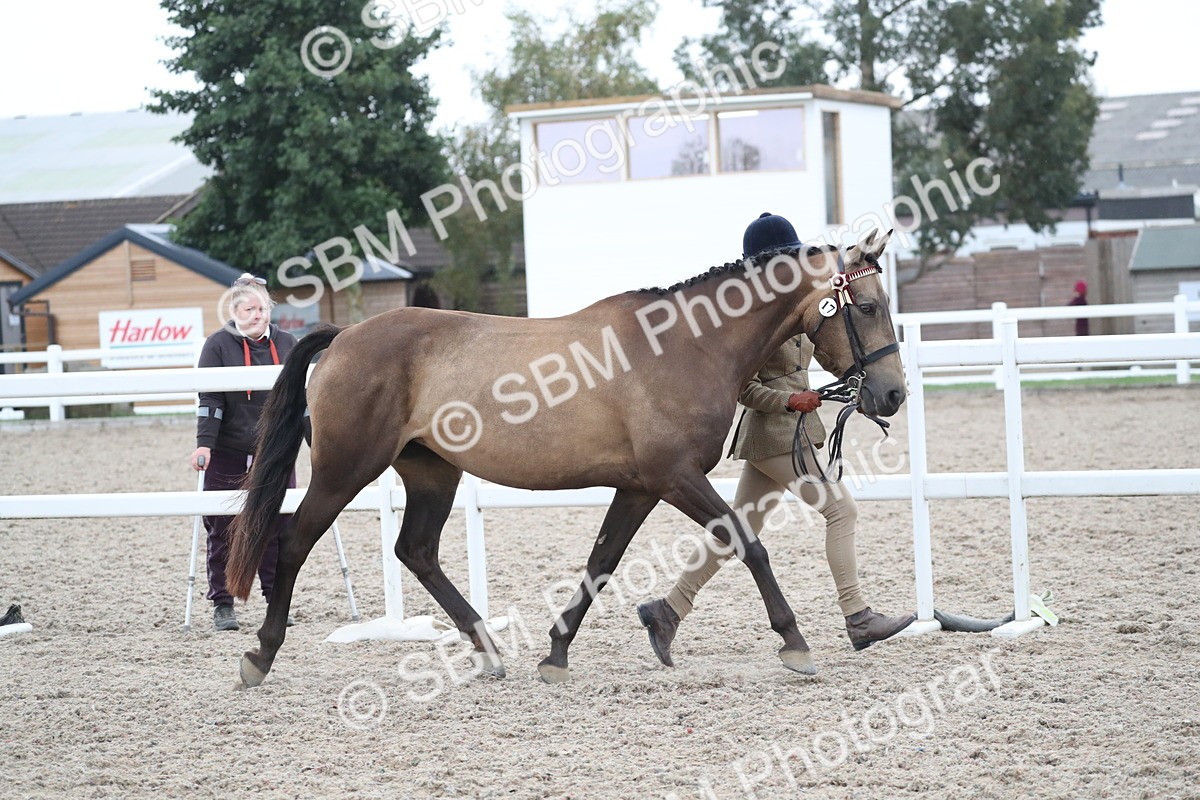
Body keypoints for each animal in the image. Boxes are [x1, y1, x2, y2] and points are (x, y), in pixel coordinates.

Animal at [227, 229, 904, 687]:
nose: (892, 394)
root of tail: (343, 336)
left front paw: (555, 654)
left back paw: (488, 650)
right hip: (344, 470)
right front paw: (795, 644)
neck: (685, 345)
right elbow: (748, 543)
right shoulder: (675, 476)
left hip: (432, 472)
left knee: (415, 551)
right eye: (868, 307)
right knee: (294, 542)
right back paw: (259, 655)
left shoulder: (641, 486)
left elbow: (601, 562)